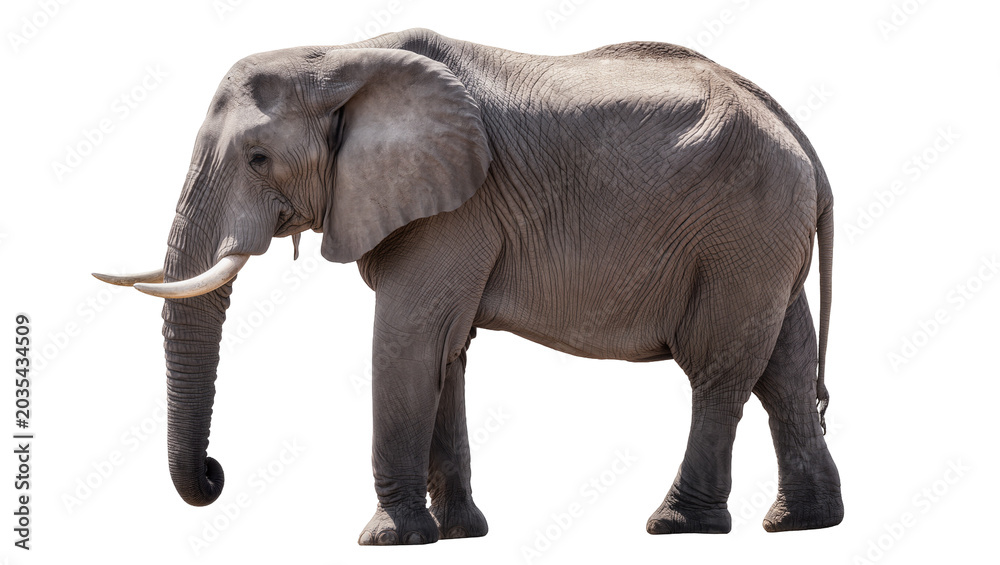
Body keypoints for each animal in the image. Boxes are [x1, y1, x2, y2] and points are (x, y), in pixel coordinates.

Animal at [94, 28, 843, 544]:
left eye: (256, 158)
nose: (215, 473)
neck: (339, 57)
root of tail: (802, 137)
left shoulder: (457, 209)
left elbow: (407, 339)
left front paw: (388, 540)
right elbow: (445, 351)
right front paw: (457, 534)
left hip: (742, 227)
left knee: (720, 368)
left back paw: (677, 525)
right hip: (765, 236)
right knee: (784, 365)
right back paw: (802, 524)